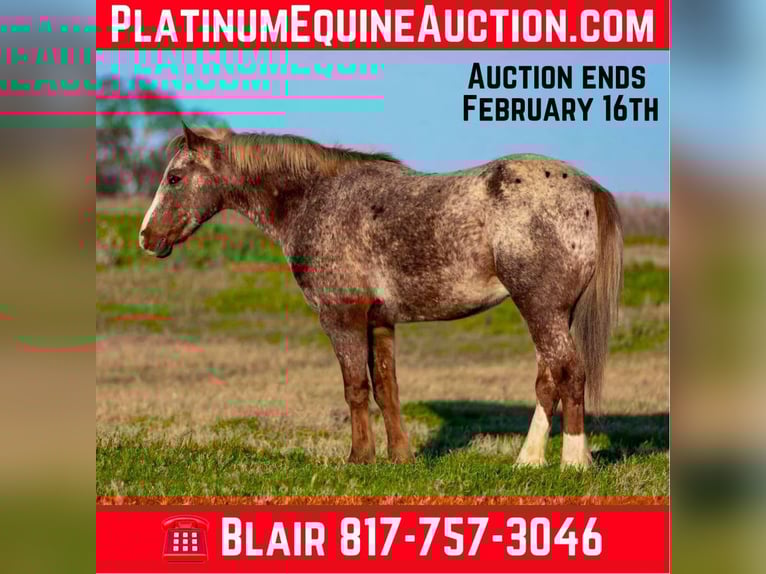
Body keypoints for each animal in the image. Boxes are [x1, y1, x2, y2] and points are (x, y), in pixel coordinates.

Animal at [139, 124, 623, 469]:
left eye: (175, 177)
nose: (146, 237)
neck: (317, 200)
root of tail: (587, 188)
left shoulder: (343, 319)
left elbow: (355, 388)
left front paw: (359, 457)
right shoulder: (380, 320)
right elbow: (386, 387)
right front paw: (400, 457)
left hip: (541, 309)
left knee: (568, 374)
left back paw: (573, 462)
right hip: (553, 313)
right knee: (548, 380)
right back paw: (529, 460)